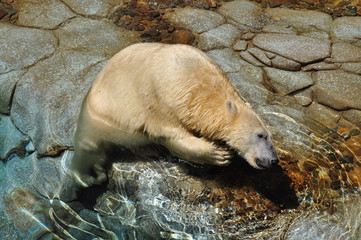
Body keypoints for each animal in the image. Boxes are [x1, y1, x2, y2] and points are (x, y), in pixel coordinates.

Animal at [70, 42, 278, 187]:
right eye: (260, 135)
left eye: (270, 136)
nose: (273, 160)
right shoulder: (161, 101)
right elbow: (172, 137)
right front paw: (220, 154)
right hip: (102, 120)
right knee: (89, 149)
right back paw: (91, 176)